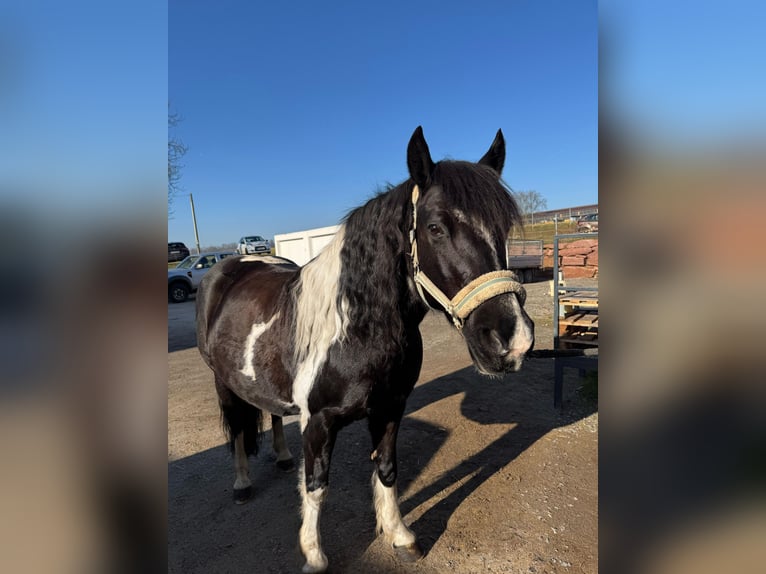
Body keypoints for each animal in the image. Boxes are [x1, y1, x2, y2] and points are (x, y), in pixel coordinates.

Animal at [195, 127, 536, 574]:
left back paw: (282, 457)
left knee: (270, 414)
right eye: (435, 227)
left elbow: (388, 470)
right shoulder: (319, 422)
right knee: (237, 426)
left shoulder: (391, 408)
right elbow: (316, 485)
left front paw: (400, 536)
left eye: (504, 227)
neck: (354, 331)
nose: (511, 338)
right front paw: (314, 555)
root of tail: (227, 267)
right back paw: (242, 482)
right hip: (222, 381)